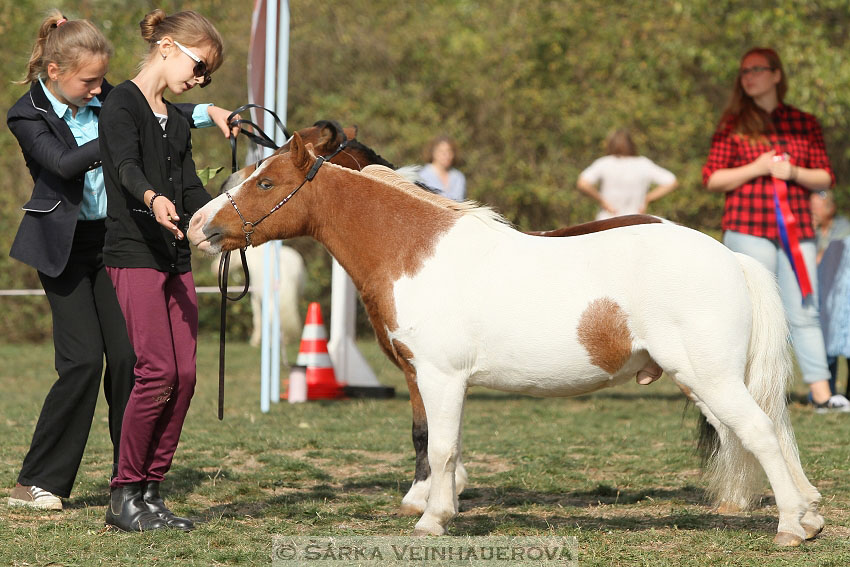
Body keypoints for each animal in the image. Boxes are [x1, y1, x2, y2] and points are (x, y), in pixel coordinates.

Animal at [187, 134, 820, 544]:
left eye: (266, 181)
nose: (198, 225)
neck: (415, 251)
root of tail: (733, 259)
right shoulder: (439, 380)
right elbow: (445, 446)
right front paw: (439, 509)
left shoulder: (438, 375)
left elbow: (439, 449)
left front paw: (431, 520)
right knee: (779, 435)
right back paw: (810, 516)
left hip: (710, 378)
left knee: (761, 434)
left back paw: (792, 527)